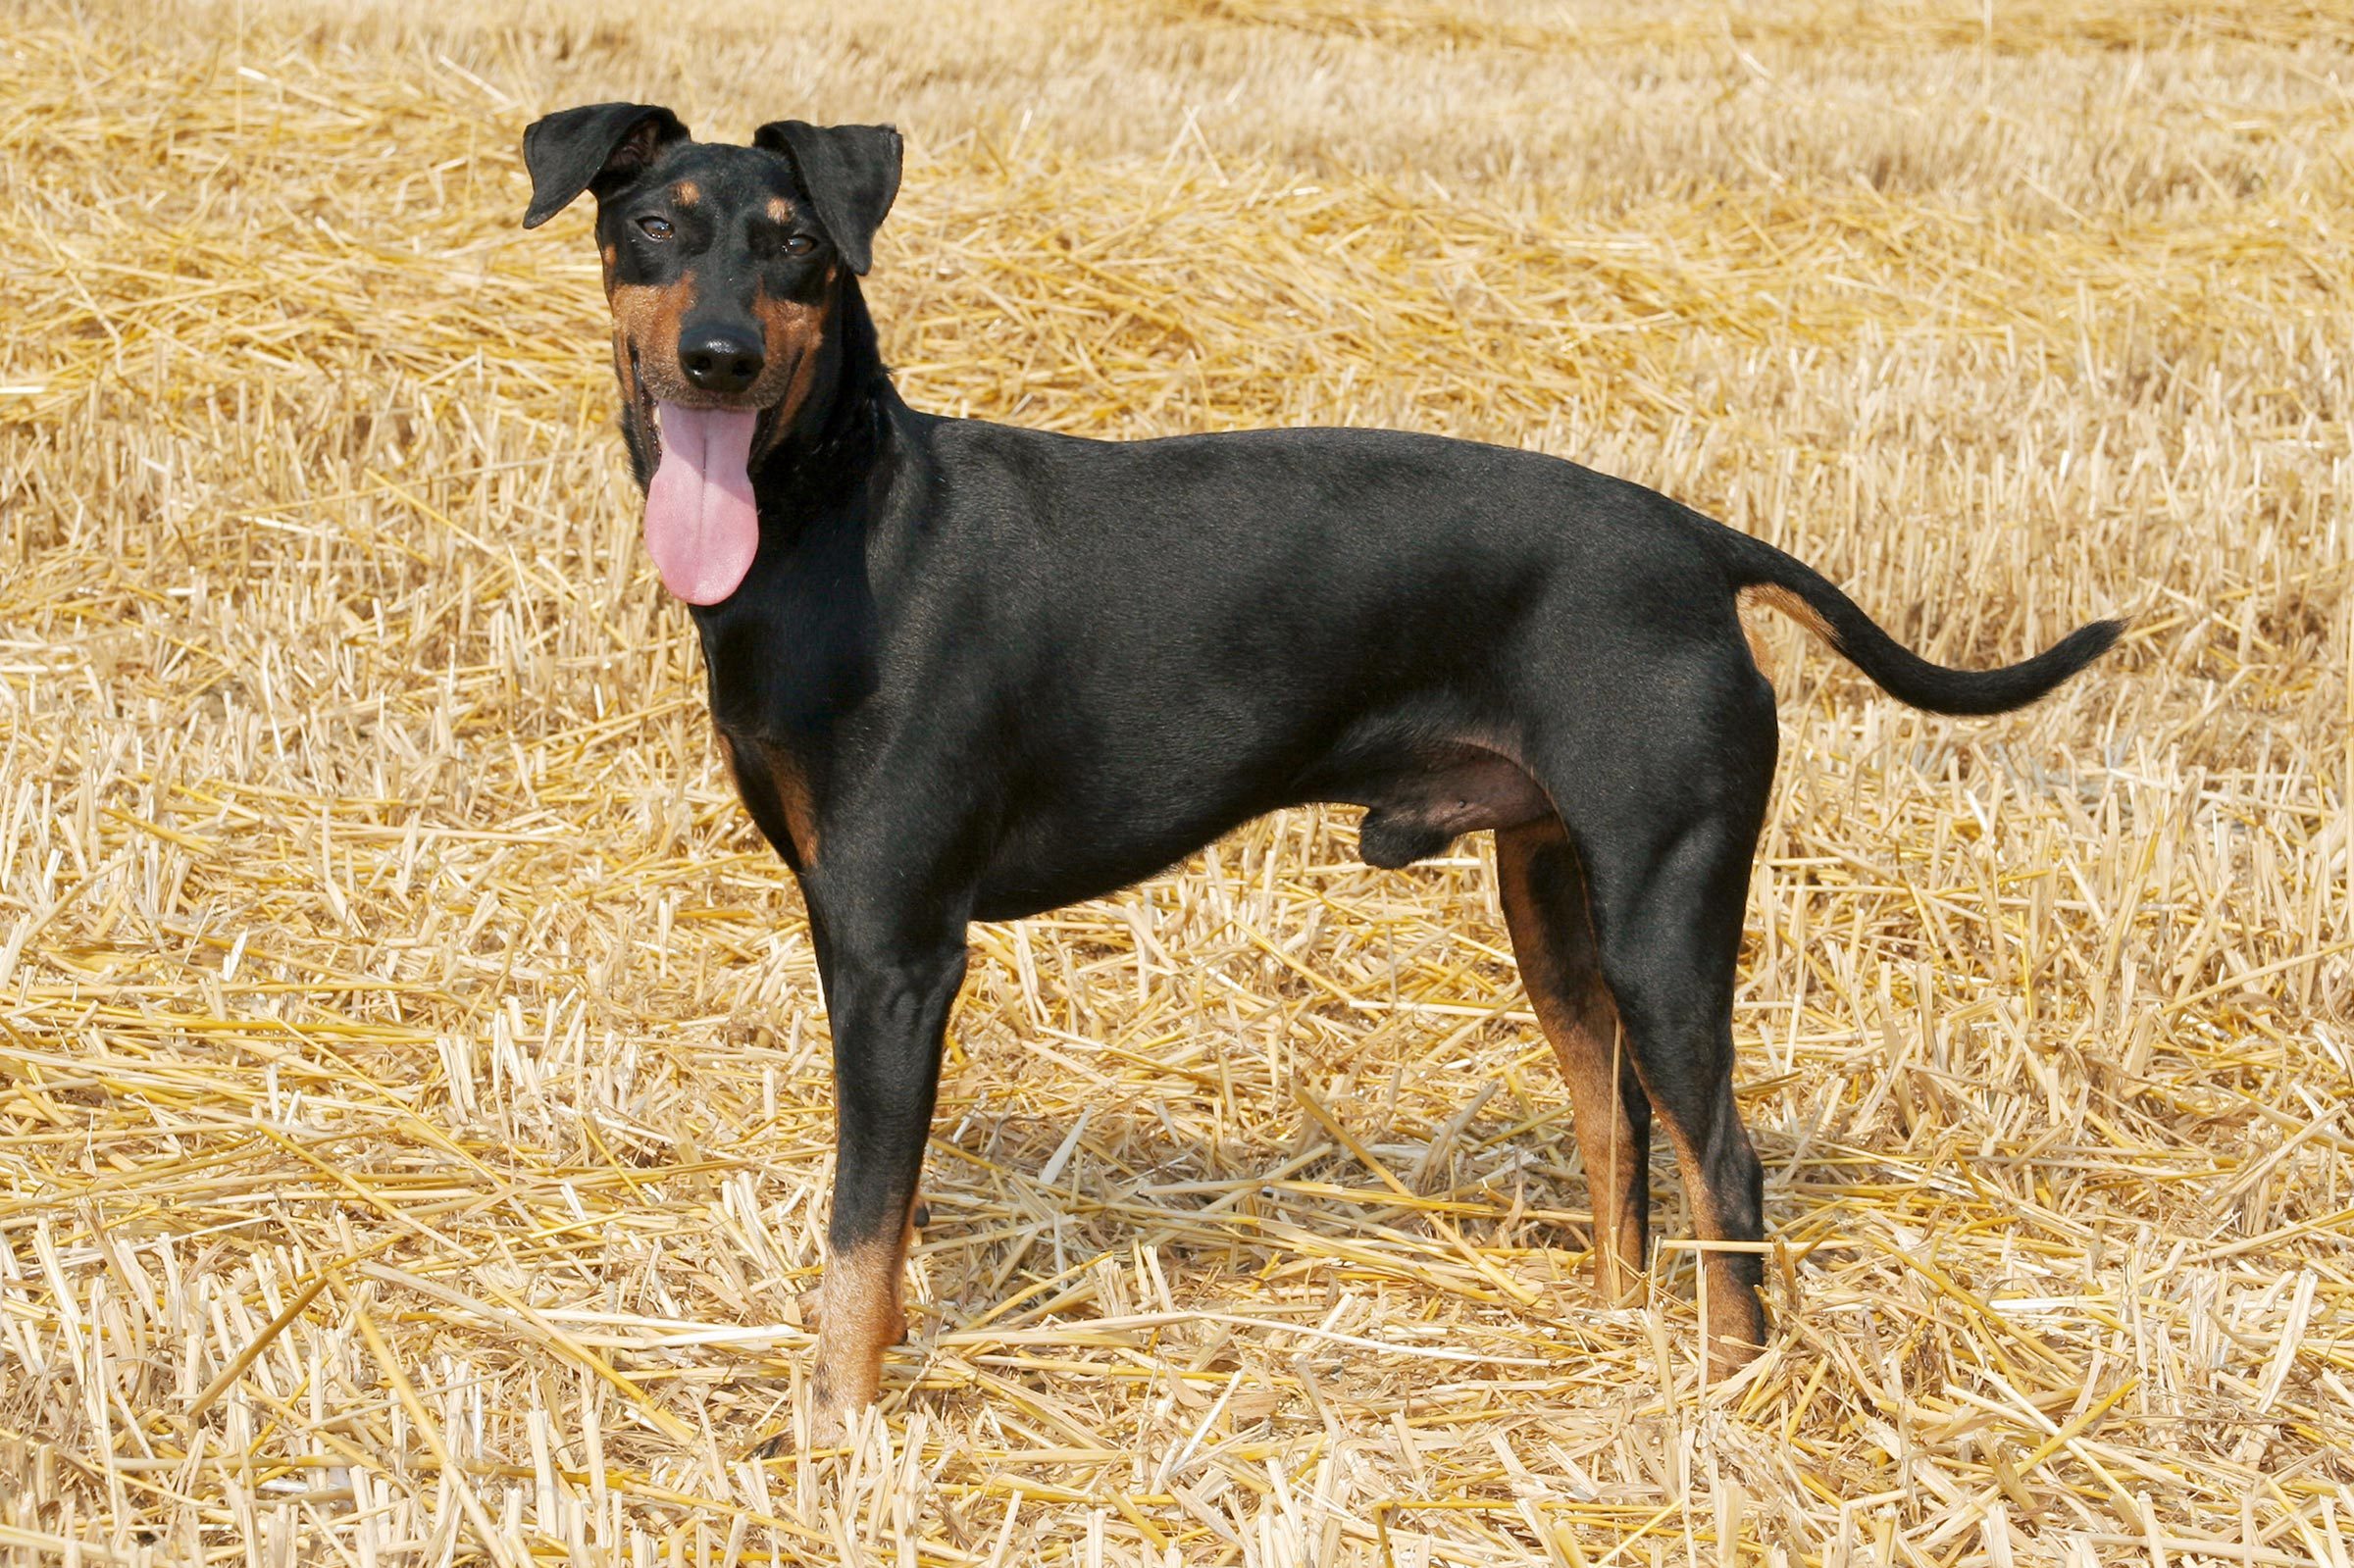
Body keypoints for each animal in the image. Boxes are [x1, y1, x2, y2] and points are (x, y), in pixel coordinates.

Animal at [520, 103, 2137, 1431]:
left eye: (799, 249)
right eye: (653, 225)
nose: (718, 356)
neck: (833, 514)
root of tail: (1696, 544)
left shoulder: (895, 952)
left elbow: (860, 1227)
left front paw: (836, 1429)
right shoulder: (854, 937)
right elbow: (885, 1215)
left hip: (1668, 914)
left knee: (1723, 1163)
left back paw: (1728, 1394)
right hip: (1552, 905)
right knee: (1615, 1124)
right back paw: (1613, 1331)